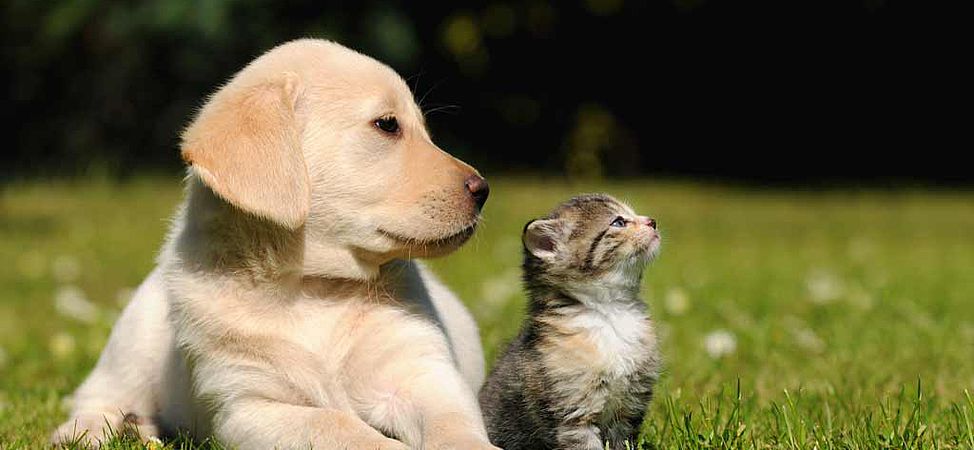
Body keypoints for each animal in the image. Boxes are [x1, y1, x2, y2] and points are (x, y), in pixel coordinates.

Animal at [48, 39, 496, 450]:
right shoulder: (249, 407)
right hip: (134, 340)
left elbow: (452, 423)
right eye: (387, 125)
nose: (483, 190)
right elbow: (336, 425)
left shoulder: (423, 373)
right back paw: (99, 431)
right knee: (95, 396)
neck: (314, 288)